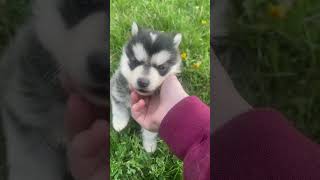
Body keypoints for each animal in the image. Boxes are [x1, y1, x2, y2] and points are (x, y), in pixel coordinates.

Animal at [110, 21, 181, 153]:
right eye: (135, 61)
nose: (143, 82)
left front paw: (149, 144)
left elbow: (150, 131)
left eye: (162, 67)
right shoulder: (117, 84)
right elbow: (118, 104)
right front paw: (119, 122)